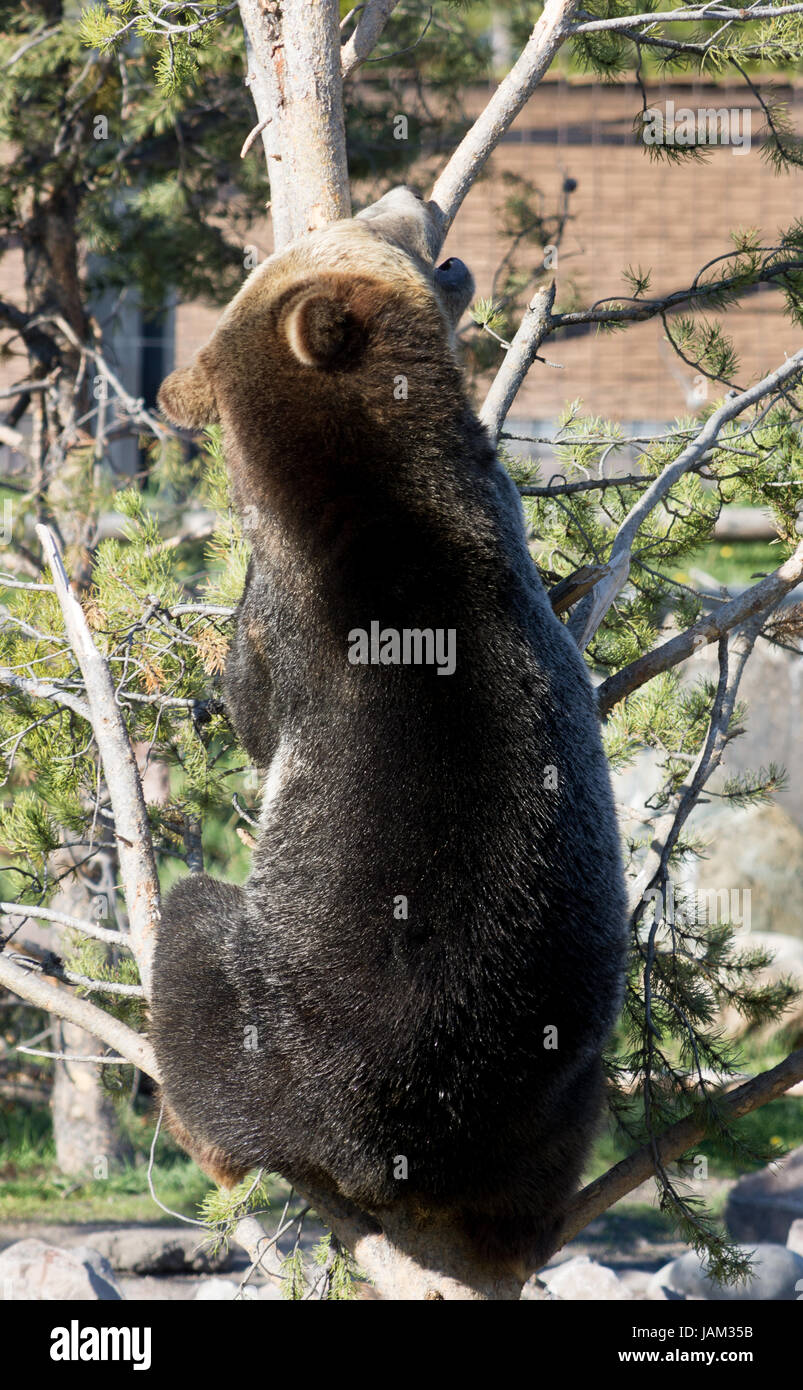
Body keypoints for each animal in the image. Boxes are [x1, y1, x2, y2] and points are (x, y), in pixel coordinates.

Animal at [148, 187, 625, 1273]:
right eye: (377, 222)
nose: (413, 195)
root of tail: (382, 1145)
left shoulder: (288, 615)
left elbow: (253, 707)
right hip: (554, 1084)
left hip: (260, 1017)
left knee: (188, 934)